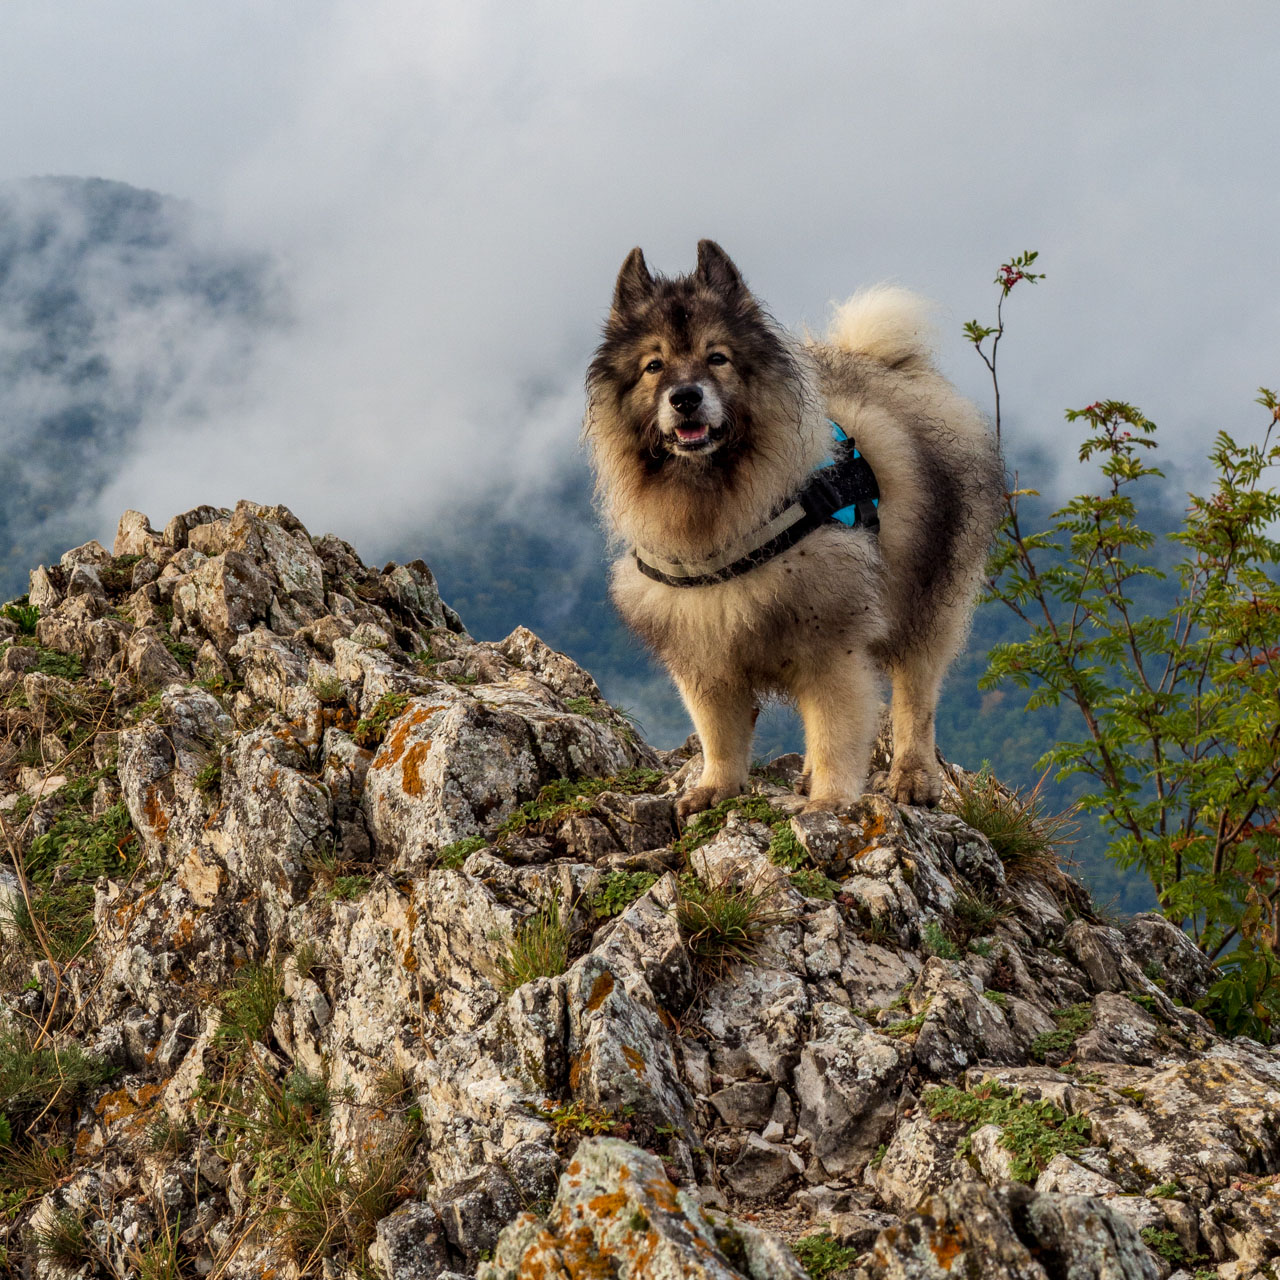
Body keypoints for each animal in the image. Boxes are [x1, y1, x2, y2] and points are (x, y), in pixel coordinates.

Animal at [586, 240, 1003, 819]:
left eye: (718, 357)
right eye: (653, 366)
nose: (685, 397)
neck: (721, 511)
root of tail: (891, 366)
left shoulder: (831, 644)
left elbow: (835, 730)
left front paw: (829, 803)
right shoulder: (703, 653)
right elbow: (719, 733)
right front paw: (716, 788)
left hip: (929, 599)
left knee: (915, 698)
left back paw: (913, 777)